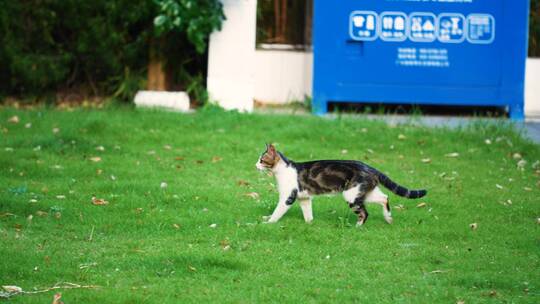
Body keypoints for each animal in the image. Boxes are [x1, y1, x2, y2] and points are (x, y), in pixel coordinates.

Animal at [255, 144, 428, 226]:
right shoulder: (305, 198)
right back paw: (388, 218)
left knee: (365, 213)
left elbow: (278, 211)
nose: (255, 165)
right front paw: (309, 223)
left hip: (351, 194)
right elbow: (308, 213)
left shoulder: (288, 197)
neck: (281, 171)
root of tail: (371, 167)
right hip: (364, 192)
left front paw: (269, 222)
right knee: (384, 198)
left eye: (262, 160)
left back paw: (358, 226)